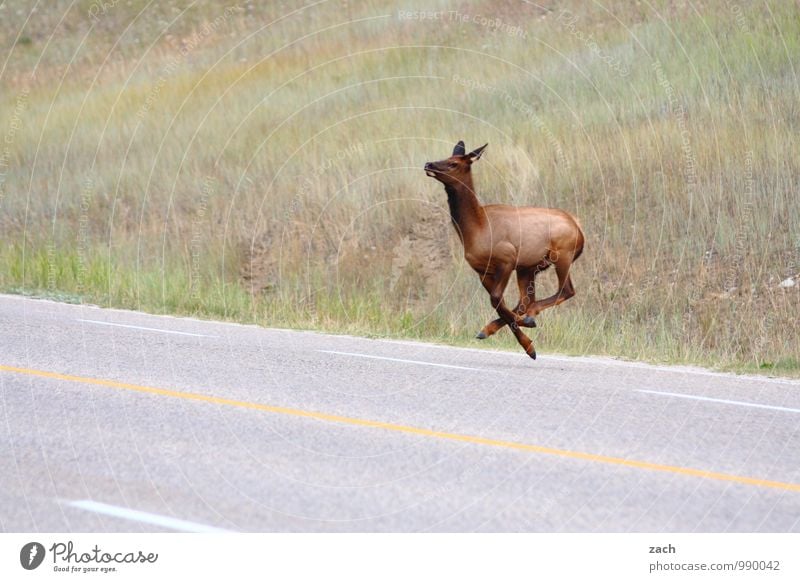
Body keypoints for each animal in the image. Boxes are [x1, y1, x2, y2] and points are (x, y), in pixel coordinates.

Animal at [424, 141, 588, 360]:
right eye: (447, 157)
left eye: (453, 163)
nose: (428, 164)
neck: (475, 228)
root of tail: (579, 228)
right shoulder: (482, 270)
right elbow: (499, 303)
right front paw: (527, 346)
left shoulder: (507, 259)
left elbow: (495, 299)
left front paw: (527, 336)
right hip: (528, 267)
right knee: (526, 300)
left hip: (562, 256)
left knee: (565, 290)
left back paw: (529, 317)